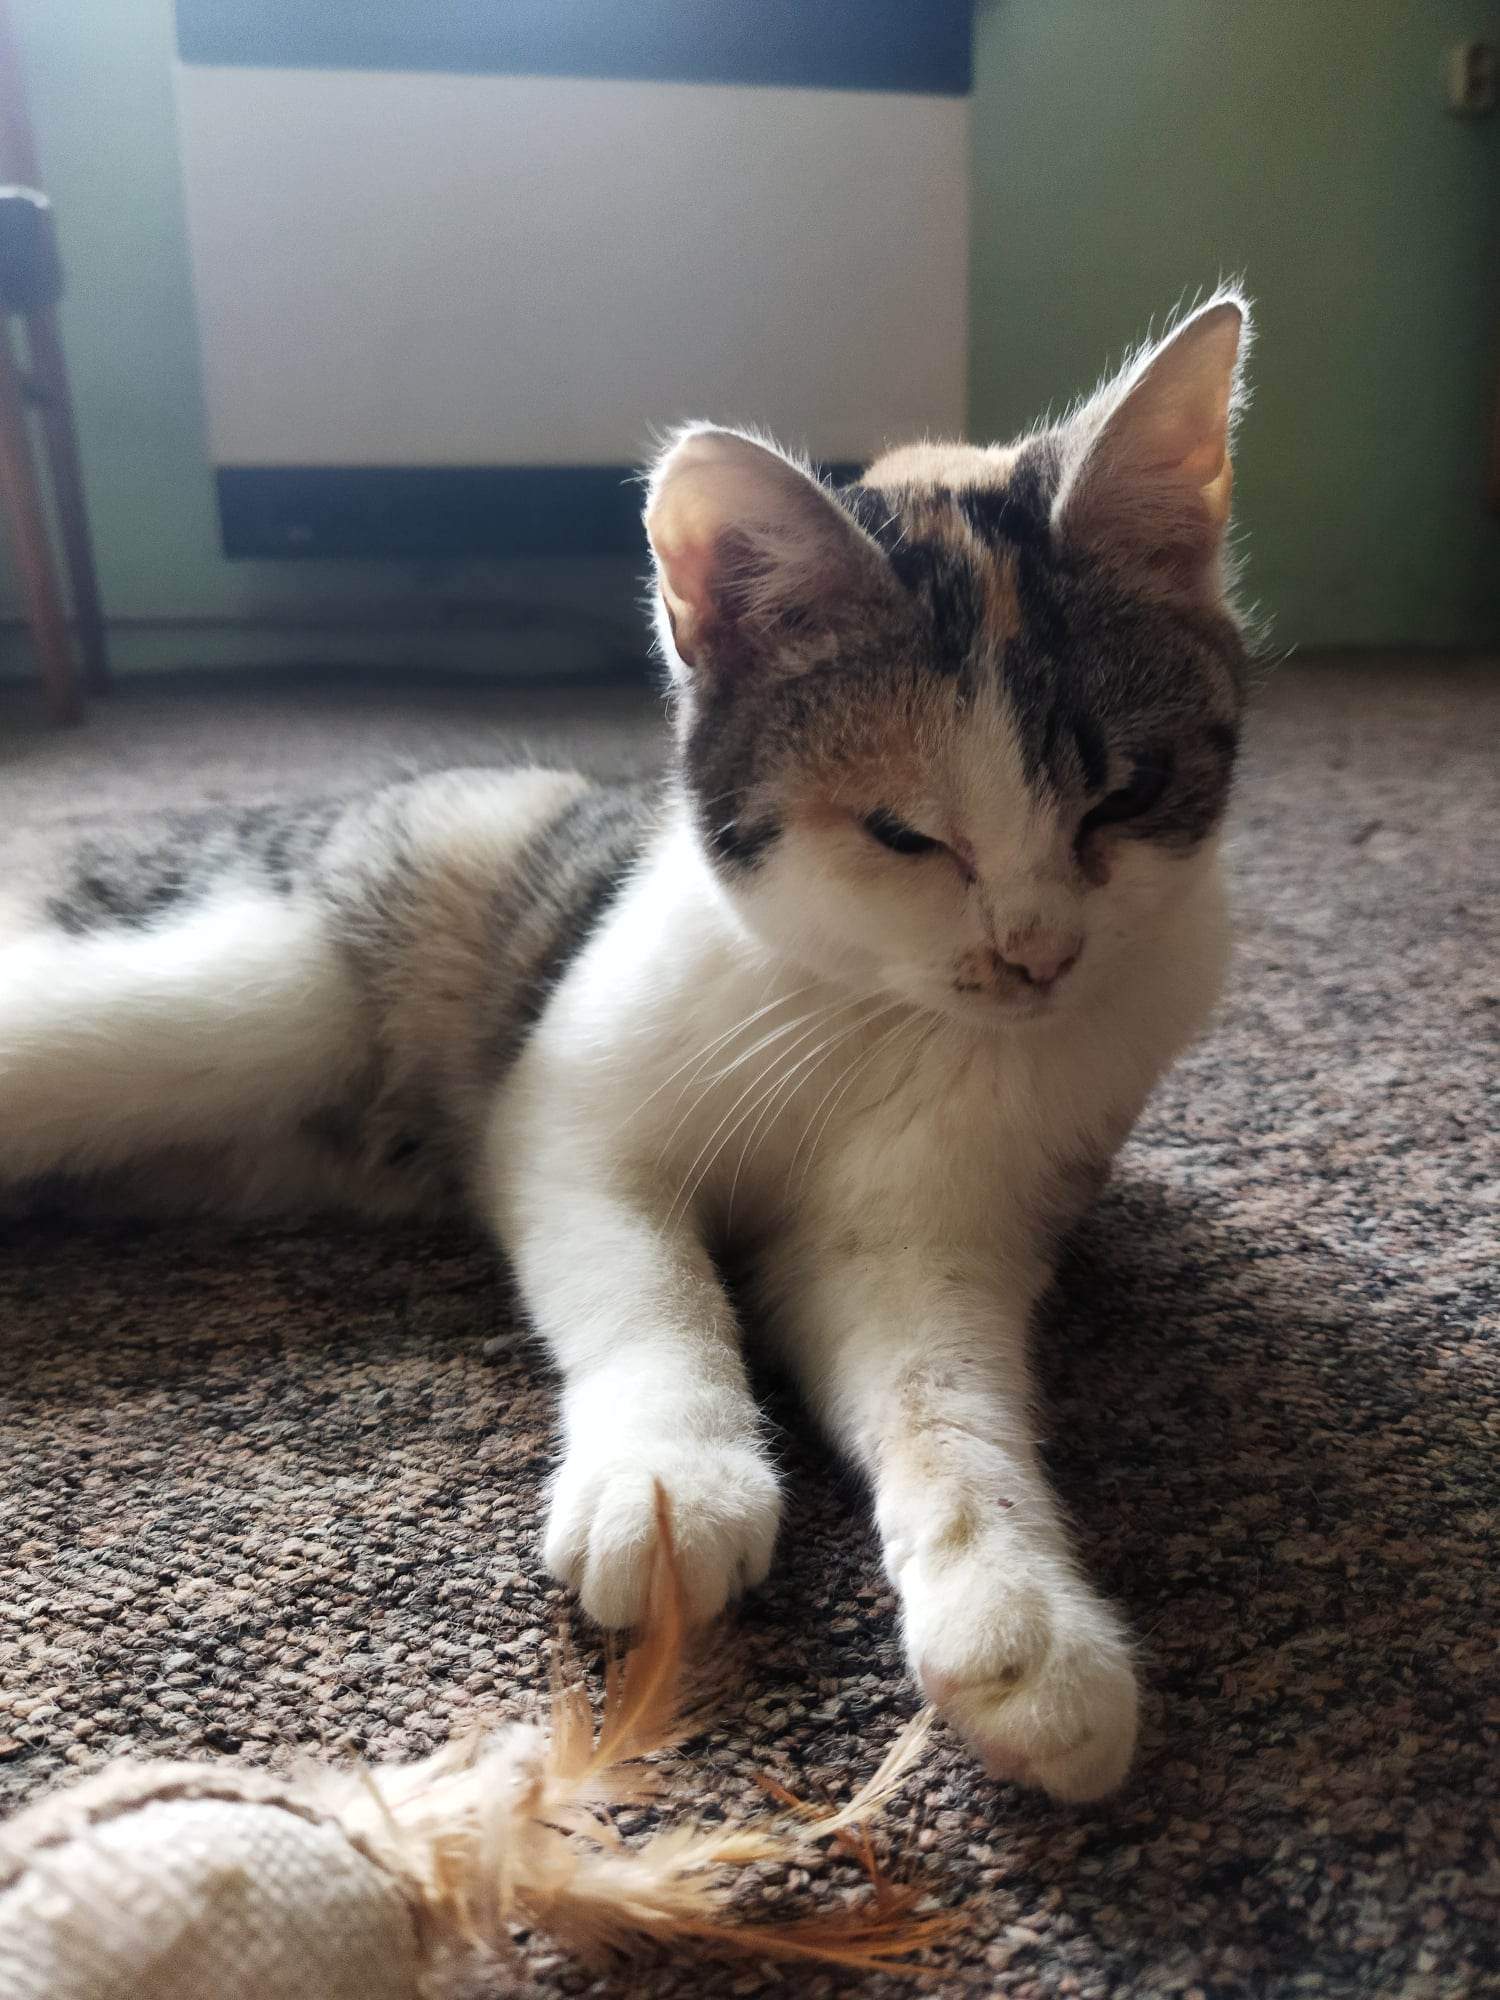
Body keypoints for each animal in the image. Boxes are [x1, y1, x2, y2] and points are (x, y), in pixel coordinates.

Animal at [0, 293, 1250, 1803]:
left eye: (1126, 794)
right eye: (906, 833)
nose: (1035, 955)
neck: (866, 1010)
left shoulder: (931, 1227)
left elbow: (939, 1388)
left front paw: (1019, 1620)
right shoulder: (567, 1119)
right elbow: (653, 1281)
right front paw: (669, 1484)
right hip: (251, 988)